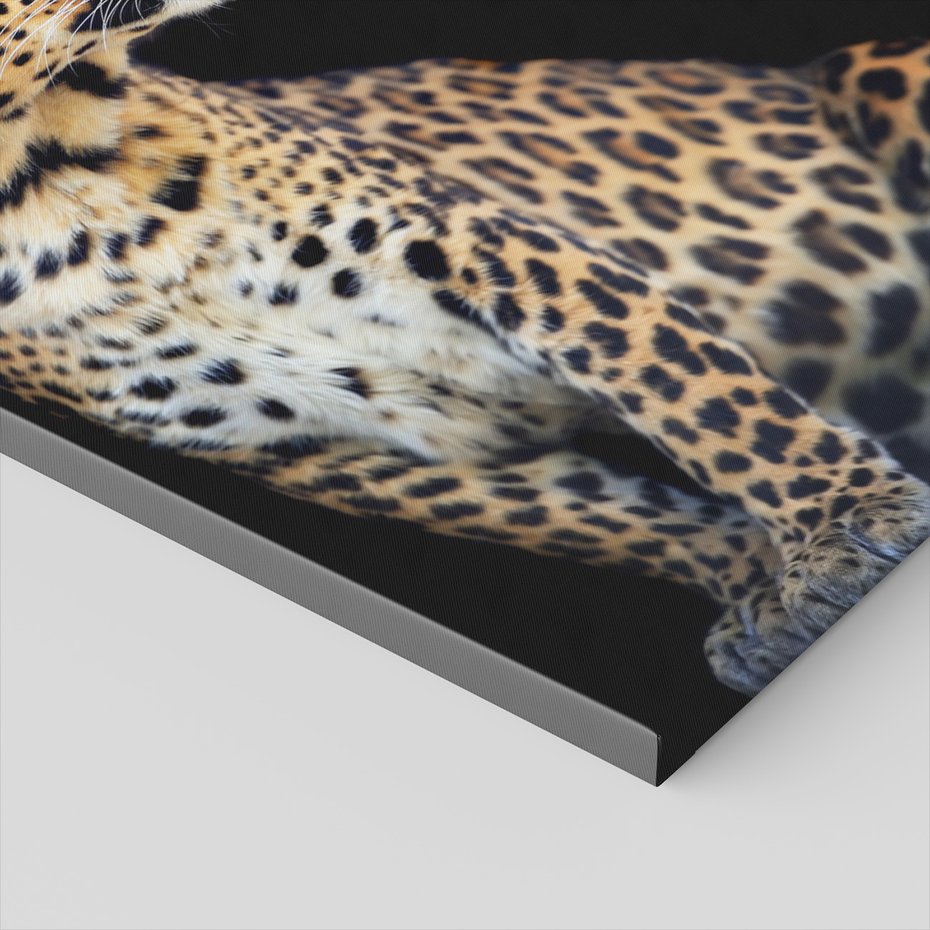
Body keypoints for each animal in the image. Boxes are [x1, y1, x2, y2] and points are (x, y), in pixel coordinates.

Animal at [1, 0, 928, 696]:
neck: (45, 179)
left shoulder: (485, 239)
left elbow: (700, 396)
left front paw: (848, 521)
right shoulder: (326, 448)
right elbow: (604, 519)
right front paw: (765, 588)